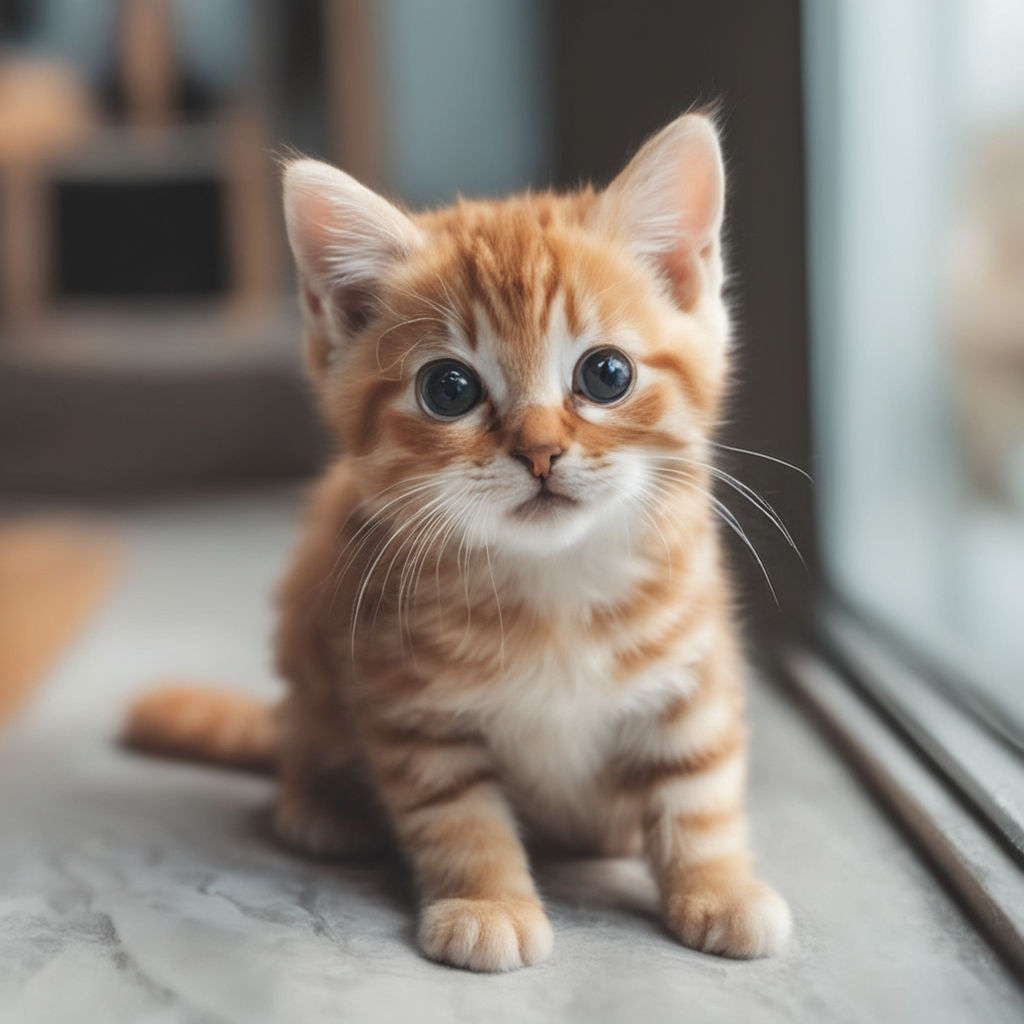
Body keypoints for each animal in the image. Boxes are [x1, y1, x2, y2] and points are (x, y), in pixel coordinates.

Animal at [125, 112, 790, 966]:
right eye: (449, 389)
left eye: (606, 374)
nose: (540, 451)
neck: (554, 589)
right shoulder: (409, 704)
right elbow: (459, 816)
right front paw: (487, 902)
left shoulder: (693, 667)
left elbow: (697, 788)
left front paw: (719, 885)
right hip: (309, 641)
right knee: (301, 745)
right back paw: (320, 808)